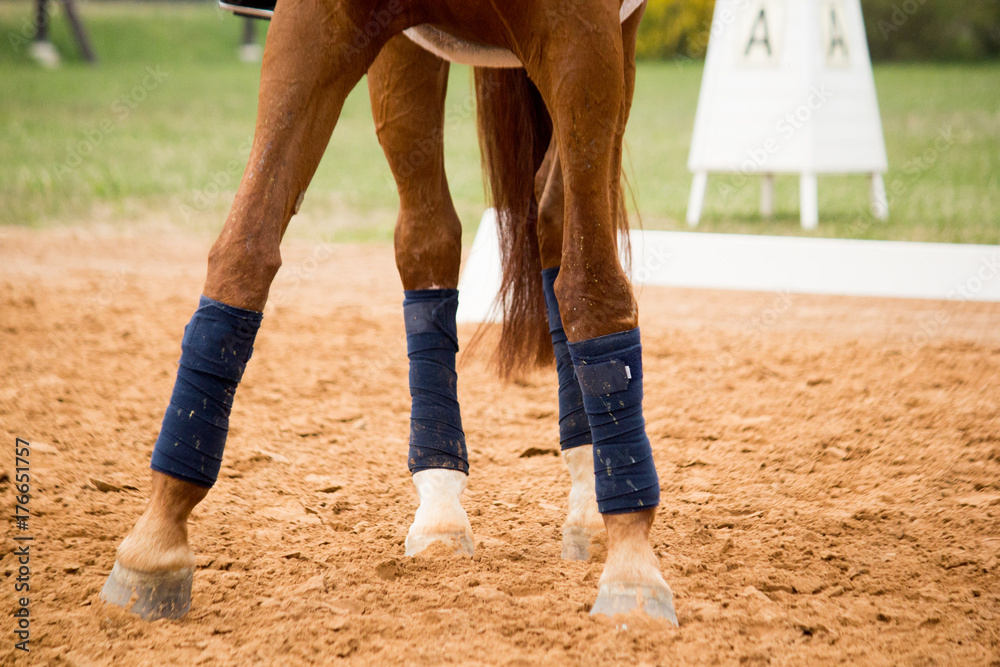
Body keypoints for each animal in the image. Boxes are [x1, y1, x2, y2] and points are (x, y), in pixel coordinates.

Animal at [100, 0, 677, 626]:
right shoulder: (317, 24)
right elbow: (243, 251)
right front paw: (156, 541)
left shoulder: (583, 36)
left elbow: (592, 290)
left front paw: (633, 569)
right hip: (407, 53)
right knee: (434, 234)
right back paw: (443, 501)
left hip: (614, 47)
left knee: (558, 219)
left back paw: (591, 503)